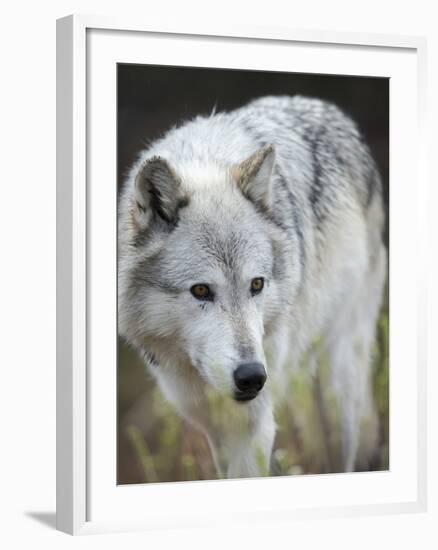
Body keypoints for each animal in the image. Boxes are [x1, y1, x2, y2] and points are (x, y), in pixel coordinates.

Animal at [117, 97, 386, 480]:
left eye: (256, 284)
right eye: (201, 291)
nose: (252, 377)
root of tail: (327, 108)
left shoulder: (253, 427)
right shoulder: (214, 427)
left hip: (339, 389)